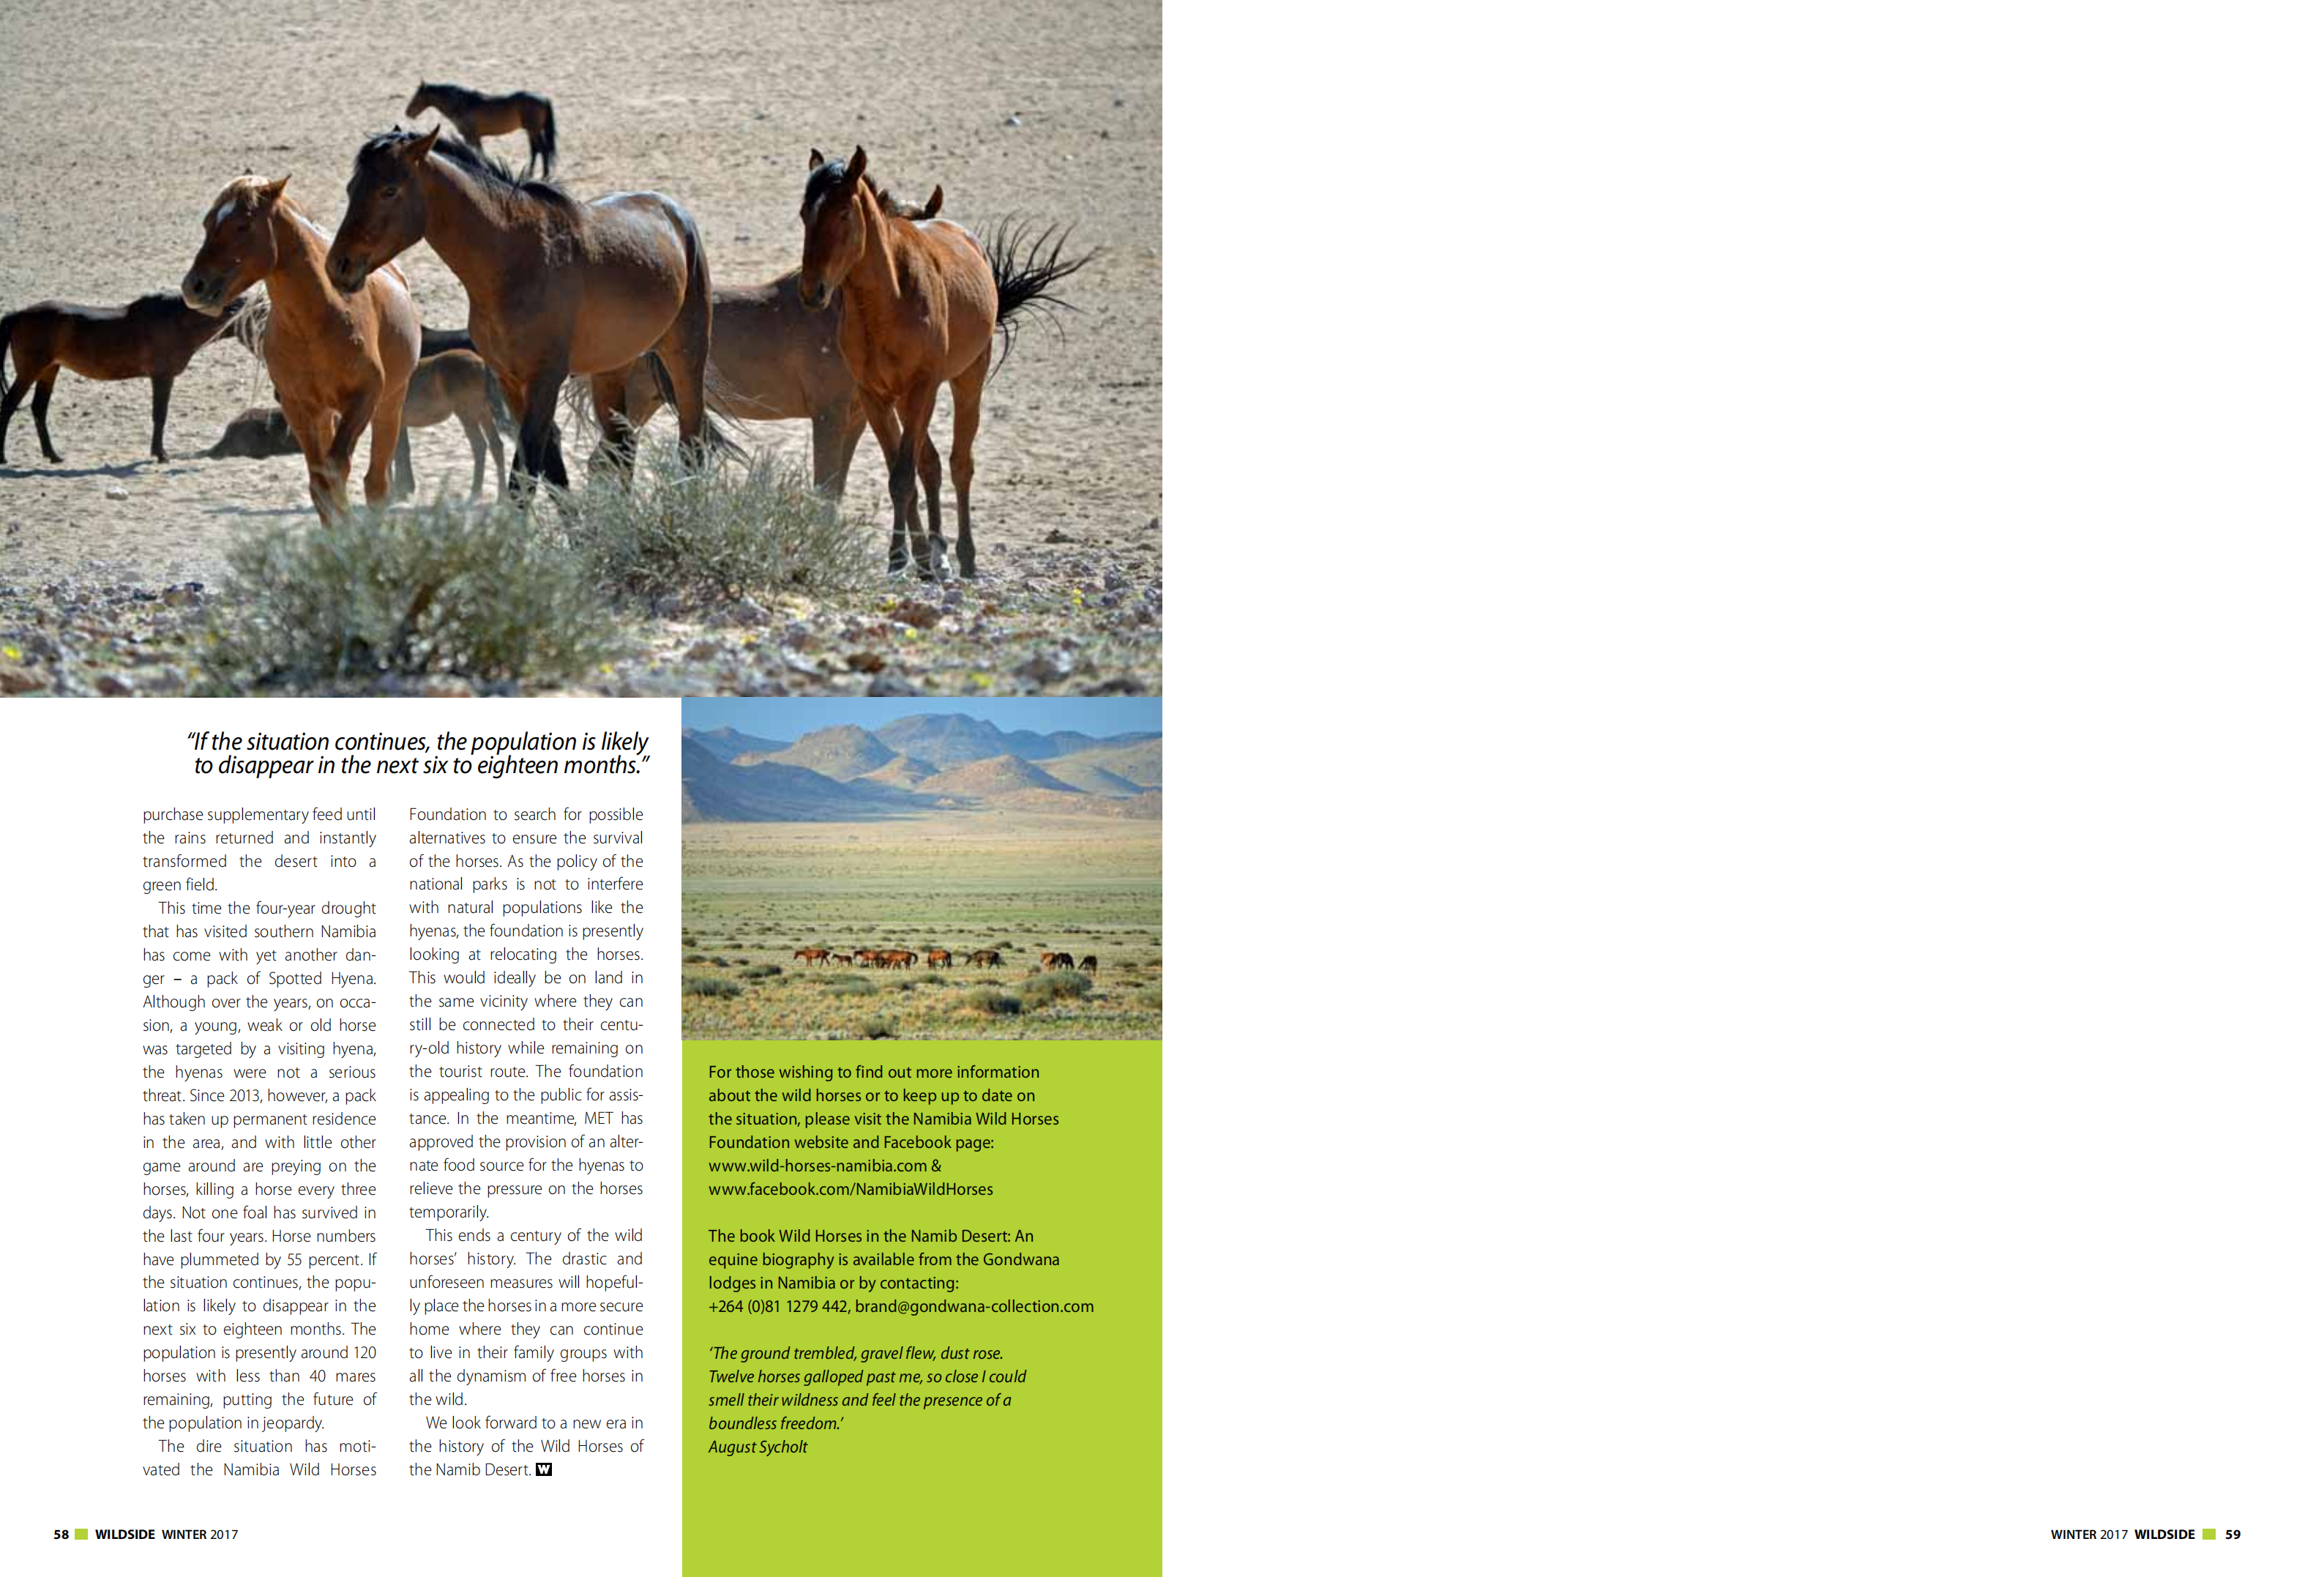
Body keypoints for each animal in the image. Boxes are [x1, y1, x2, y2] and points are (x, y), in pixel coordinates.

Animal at [0, 292, 248, 465]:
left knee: (39, 409)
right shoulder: (163, 377)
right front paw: (161, 454)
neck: (178, 323)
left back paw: (53, 455)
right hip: (29, 372)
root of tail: (21, 314)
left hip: (49, 370)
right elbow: (160, 415)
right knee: (8, 406)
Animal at [181, 176, 419, 523]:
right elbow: (319, 481)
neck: (317, 319)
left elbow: (335, 470)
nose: (193, 286)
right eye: (207, 223)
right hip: (324, 415)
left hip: (390, 404)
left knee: (376, 482)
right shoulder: (298, 406)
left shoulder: (364, 397)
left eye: (243, 225)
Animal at [326, 127, 712, 492]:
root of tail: (674, 213)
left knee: (691, 444)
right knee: (622, 446)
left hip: (686, 356)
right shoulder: (511, 382)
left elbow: (524, 477)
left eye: (389, 190)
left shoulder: (545, 380)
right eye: (351, 188)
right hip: (612, 370)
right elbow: (551, 471)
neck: (517, 260)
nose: (338, 264)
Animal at [406, 82, 558, 180]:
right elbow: (480, 154)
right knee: (536, 150)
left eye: (417, 97)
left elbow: (478, 154)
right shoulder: (475, 138)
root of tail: (544, 99)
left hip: (533, 131)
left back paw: (544, 175)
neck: (463, 105)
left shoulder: (470, 137)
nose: (407, 113)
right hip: (531, 131)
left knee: (543, 149)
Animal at [798, 147, 1092, 577]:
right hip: (907, 400)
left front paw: (900, 557)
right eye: (805, 213)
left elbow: (904, 477)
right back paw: (935, 554)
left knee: (959, 464)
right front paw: (912, 556)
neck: (889, 302)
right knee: (933, 464)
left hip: (967, 381)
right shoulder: (875, 396)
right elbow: (901, 471)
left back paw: (965, 557)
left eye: (843, 213)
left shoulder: (922, 388)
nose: (811, 291)